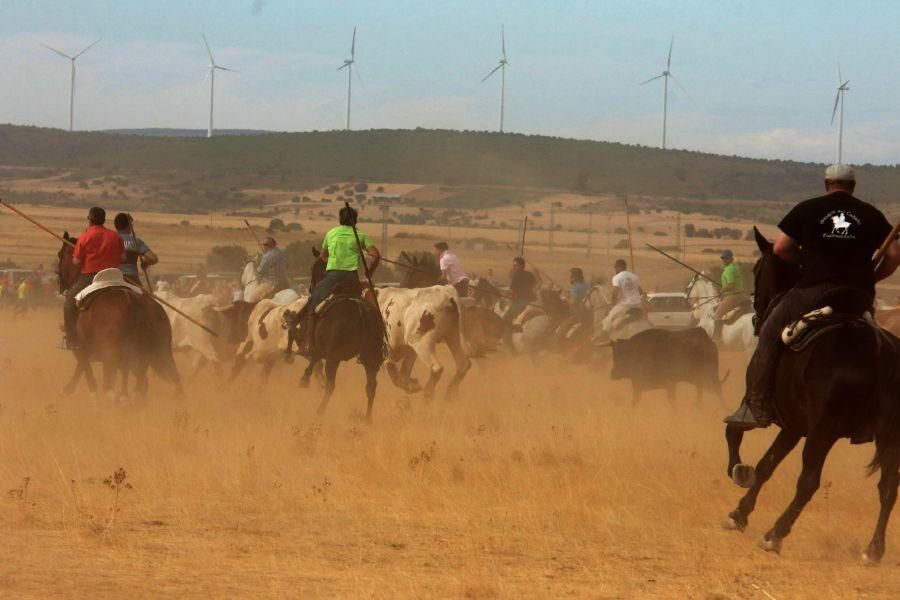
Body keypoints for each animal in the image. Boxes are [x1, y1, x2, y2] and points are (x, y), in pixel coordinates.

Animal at [57, 234, 183, 398]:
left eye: (60, 254)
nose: (59, 282)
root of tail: (131, 302)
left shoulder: (81, 348)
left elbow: (87, 373)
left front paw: (71, 389)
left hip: (114, 351)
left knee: (113, 381)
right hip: (158, 349)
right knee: (159, 377)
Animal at [720, 227, 900, 564]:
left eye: (756, 269)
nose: (756, 316)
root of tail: (878, 352)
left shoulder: (764, 410)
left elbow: (735, 432)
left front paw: (738, 473)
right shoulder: (794, 427)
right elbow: (767, 464)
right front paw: (740, 513)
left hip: (823, 432)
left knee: (809, 482)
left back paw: (775, 534)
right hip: (887, 434)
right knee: (888, 487)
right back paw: (873, 550)